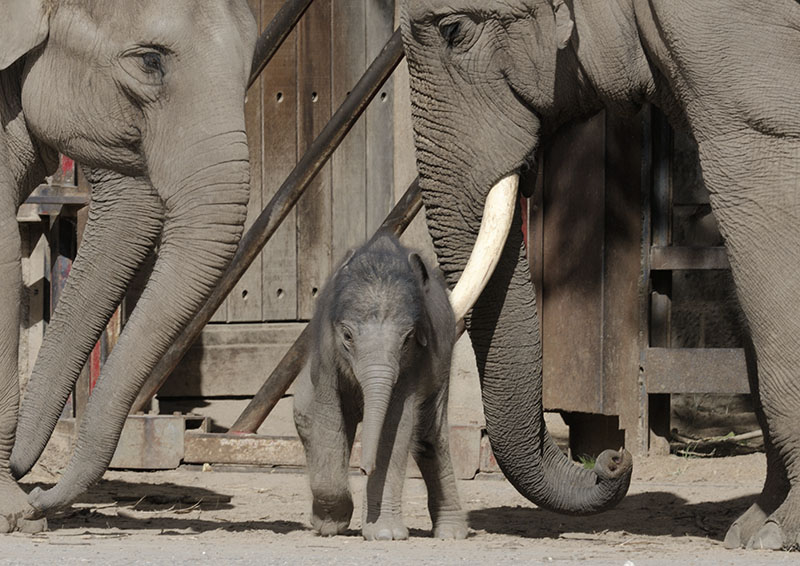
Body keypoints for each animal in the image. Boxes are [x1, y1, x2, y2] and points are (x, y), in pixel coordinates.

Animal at [293, 234, 467, 541]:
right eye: (347, 335)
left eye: (407, 338)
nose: (364, 468)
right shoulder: (326, 352)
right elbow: (328, 417)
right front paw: (330, 524)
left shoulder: (417, 360)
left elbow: (396, 427)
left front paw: (385, 534)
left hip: (444, 363)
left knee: (431, 436)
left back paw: (451, 534)